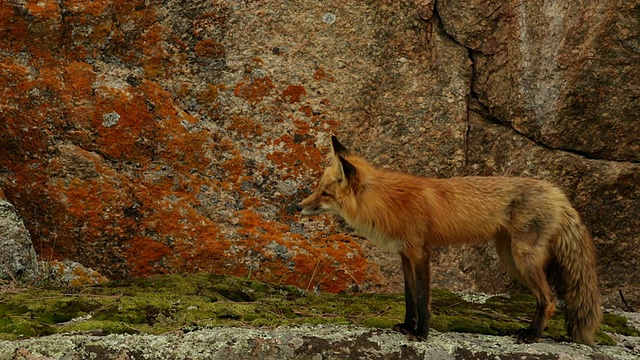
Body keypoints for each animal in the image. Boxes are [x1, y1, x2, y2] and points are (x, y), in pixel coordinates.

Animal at [298, 136, 604, 346]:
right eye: (318, 189)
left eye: (324, 193)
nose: (298, 207)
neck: (386, 201)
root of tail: (557, 193)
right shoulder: (405, 255)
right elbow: (409, 297)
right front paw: (407, 327)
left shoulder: (421, 252)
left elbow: (423, 298)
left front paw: (421, 333)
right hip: (510, 259)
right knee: (545, 299)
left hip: (523, 259)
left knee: (549, 300)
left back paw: (531, 335)